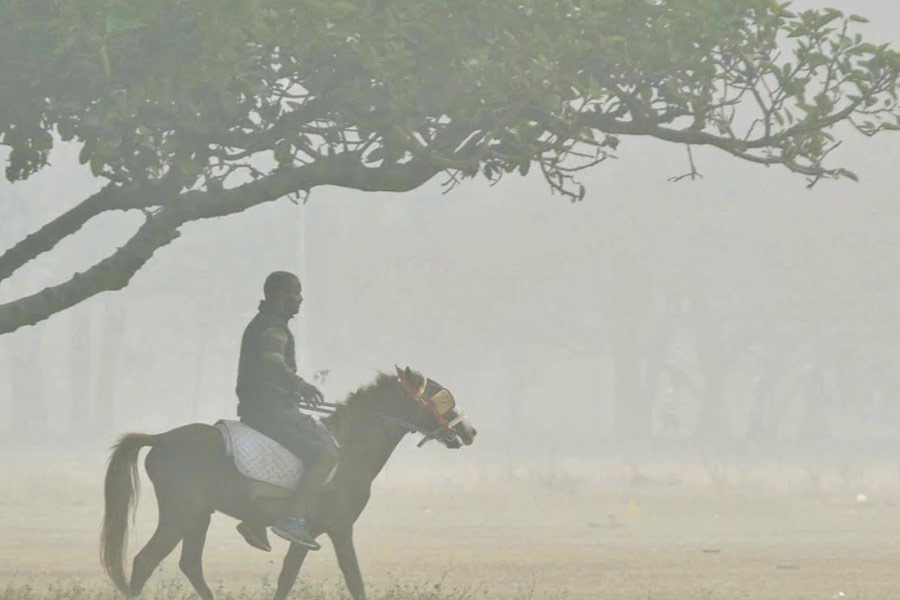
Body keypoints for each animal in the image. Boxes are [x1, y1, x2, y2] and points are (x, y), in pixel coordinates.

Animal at [100, 366, 477, 600]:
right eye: (441, 396)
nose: (469, 431)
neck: (350, 448)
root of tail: (161, 439)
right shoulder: (338, 529)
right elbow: (353, 580)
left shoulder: (309, 536)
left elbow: (286, 578)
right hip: (181, 515)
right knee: (145, 561)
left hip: (198, 516)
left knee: (189, 564)